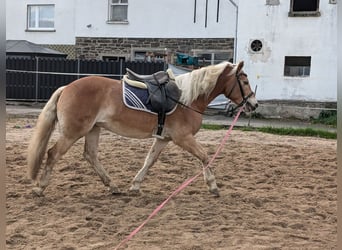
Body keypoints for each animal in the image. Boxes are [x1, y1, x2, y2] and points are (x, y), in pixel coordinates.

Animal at [27, 61, 256, 197]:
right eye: (244, 81)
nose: (253, 104)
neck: (185, 98)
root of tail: (67, 87)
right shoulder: (183, 138)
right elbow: (205, 156)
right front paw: (213, 186)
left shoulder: (163, 139)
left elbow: (149, 160)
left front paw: (135, 185)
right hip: (73, 132)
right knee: (53, 153)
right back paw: (40, 187)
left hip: (93, 129)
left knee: (90, 155)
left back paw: (113, 186)